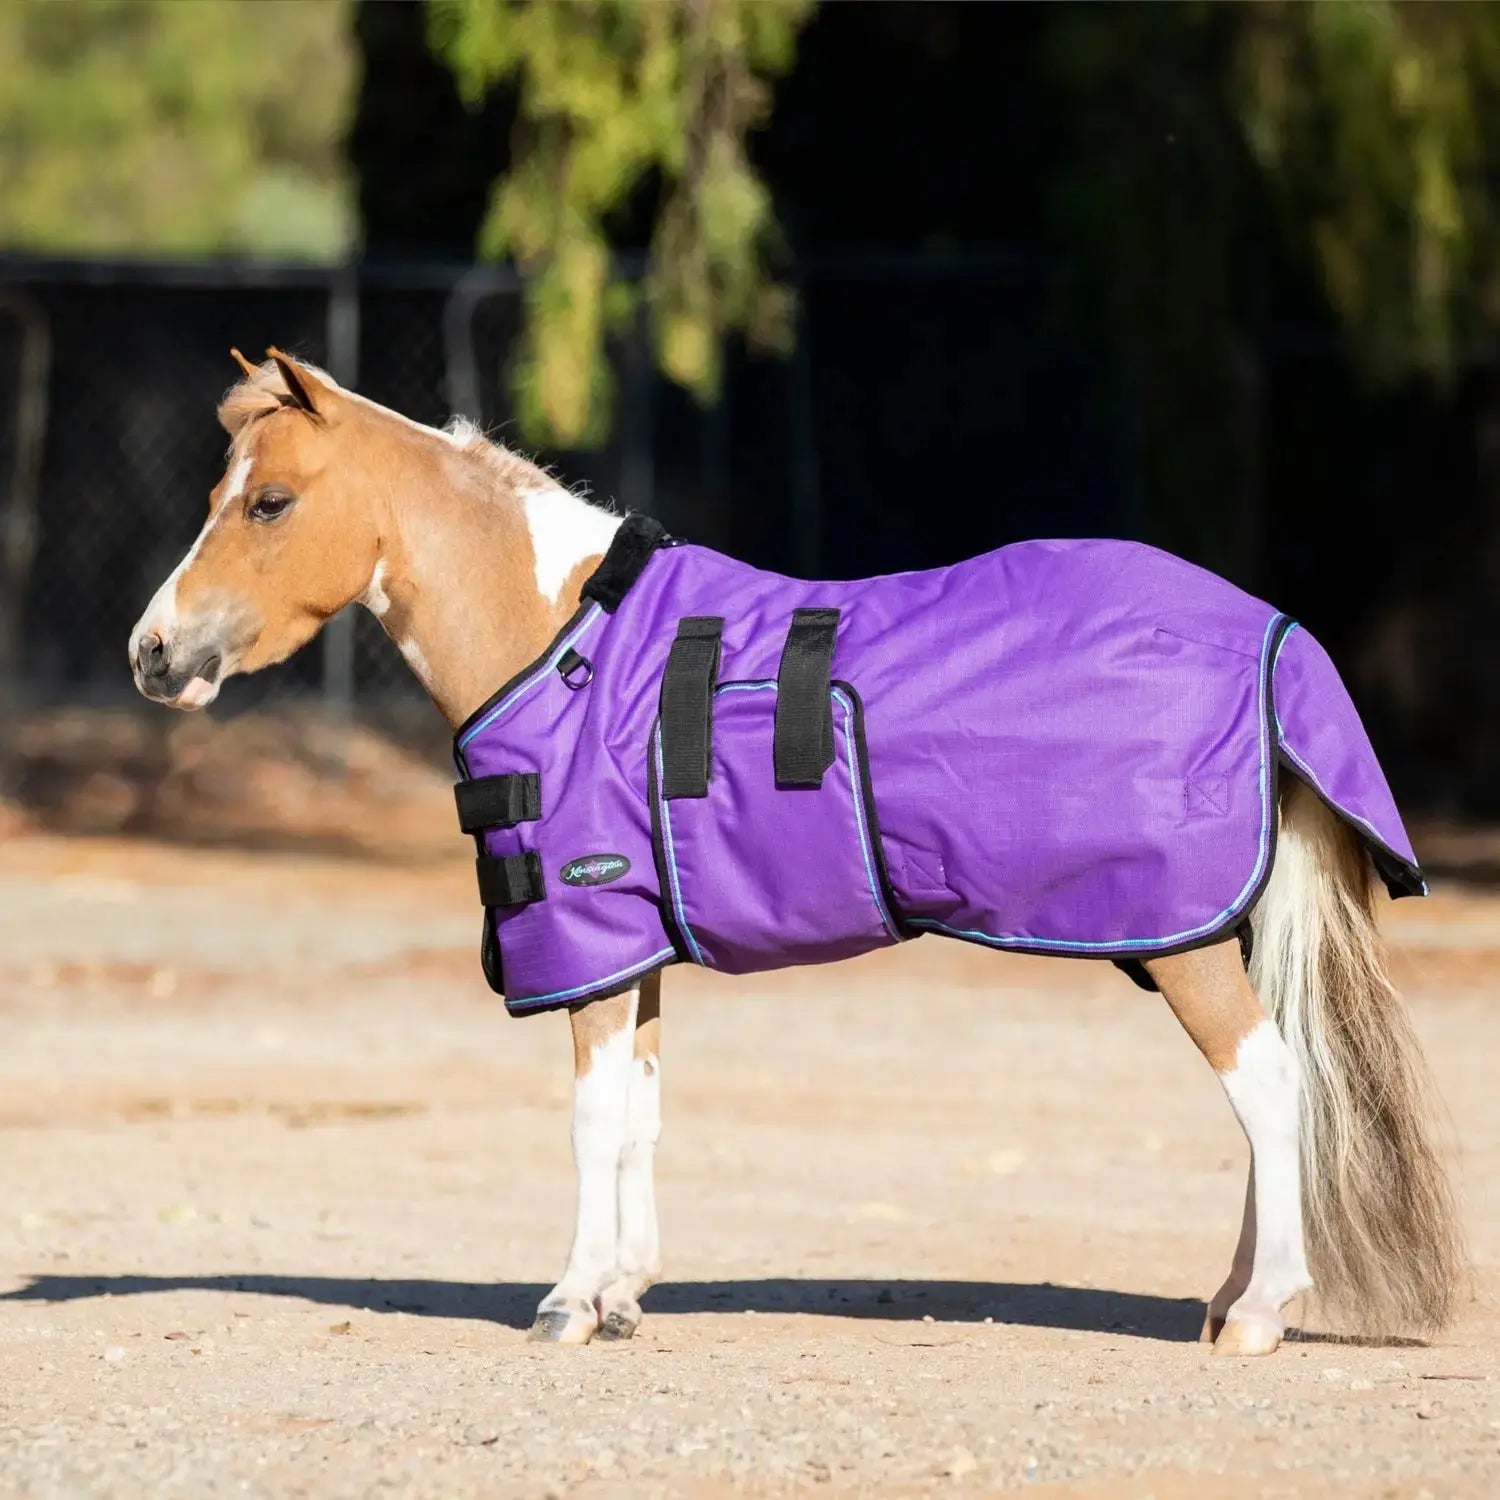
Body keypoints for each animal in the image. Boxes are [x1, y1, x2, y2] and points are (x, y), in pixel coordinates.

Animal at [128, 349, 1463, 1354]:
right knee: (1263, 1101)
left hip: (1176, 938)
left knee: (1270, 1086)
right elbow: (643, 1115)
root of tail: (1269, 631)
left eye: (269, 502)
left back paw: (1262, 1314)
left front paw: (569, 1301)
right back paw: (1229, 1300)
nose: (152, 652)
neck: (566, 644)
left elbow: (590, 1120)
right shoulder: (636, 951)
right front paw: (623, 1295)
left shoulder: (585, 940)